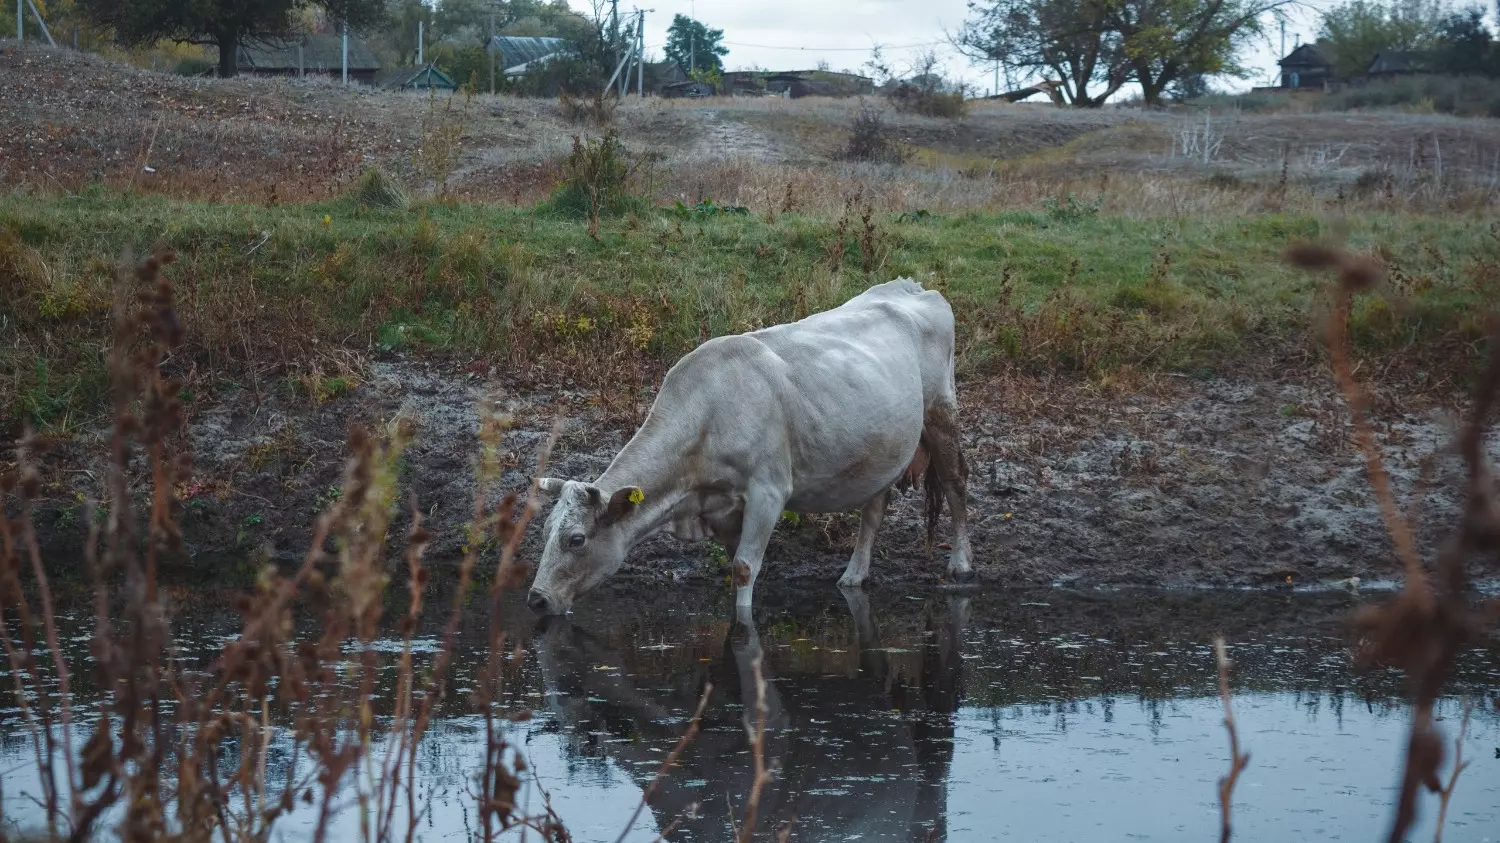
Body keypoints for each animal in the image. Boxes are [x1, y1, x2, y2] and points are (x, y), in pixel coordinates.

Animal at [528, 279, 972, 615]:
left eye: (576, 540)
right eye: (545, 530)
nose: (536, 599)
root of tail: (911, 286)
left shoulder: (768, 490)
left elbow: (745, 568)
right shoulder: (722, 509)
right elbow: (735, 565)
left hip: (941, 412)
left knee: (955, 485)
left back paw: (961, 563)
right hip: (883, 446)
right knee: (875, 508)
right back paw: (854, 575)